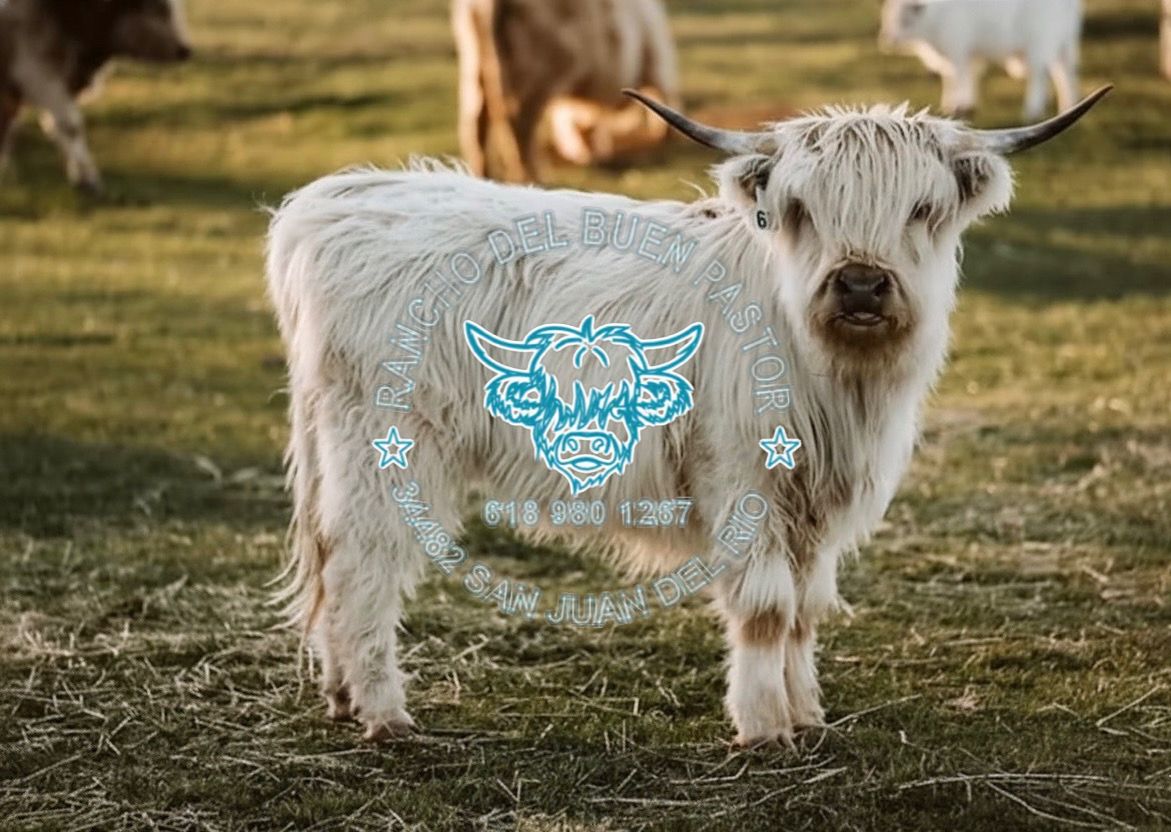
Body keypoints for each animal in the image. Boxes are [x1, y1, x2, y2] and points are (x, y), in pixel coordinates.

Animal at [264, 85, 1110, 745]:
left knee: (333, 557)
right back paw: (382, 713)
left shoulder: (816, 500)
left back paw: (342, 697)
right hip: (387, 449)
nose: (861, 286)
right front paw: (763, 727)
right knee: (364, 563)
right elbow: (766, 607)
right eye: (799, 209)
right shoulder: (739, 476)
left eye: (922, 209)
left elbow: (804, 610)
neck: (839, 379)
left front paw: (806, 716)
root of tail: (334, 199)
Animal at [451, 0, 678, 182]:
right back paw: (534, 177)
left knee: (476, 120)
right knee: (518, 124)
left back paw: (483, 176)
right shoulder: (657, 61)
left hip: (475, 63)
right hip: (538, 74)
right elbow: (665, 95)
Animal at [879, 0, 1082, 119]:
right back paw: (1068, 106)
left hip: (1040, 41)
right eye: (888, 18)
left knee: (1040, 75)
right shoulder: (969, 53)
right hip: (1064, 41)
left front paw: (954, 107)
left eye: (906, 20)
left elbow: (956, 78)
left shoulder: (957, 48)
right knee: (1065, 74)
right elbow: (967, 77)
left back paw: (1032, 111)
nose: (888, 40)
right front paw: (964, 106)